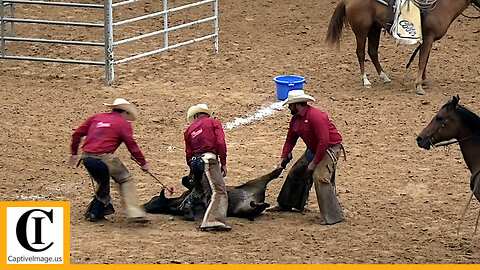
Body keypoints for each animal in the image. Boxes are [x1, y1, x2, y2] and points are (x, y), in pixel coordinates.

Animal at [326, 0, 480, 95]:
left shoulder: (427, 40)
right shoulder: (428, 38)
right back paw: (365, 80)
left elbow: (425, 59)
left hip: (374, 29)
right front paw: (419, 86)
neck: (441, 7)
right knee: (361, 53)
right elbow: (422, 61)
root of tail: (348, 1)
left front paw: (424, 80)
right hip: (361, 31)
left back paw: (385, 77)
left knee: (372, 52)